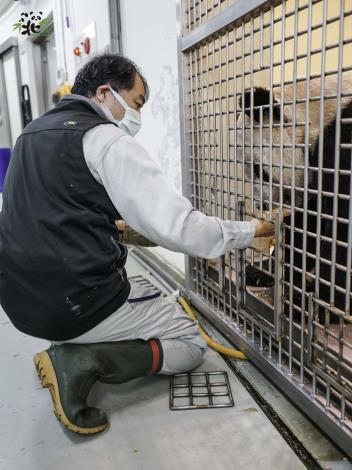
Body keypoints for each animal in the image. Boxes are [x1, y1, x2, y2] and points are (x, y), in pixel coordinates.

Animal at [236, 71, 352, 322]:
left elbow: (340, 229)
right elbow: (308, 223)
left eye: (260, 170)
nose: (261, 204)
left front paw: (318, 305)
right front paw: (264, 271)